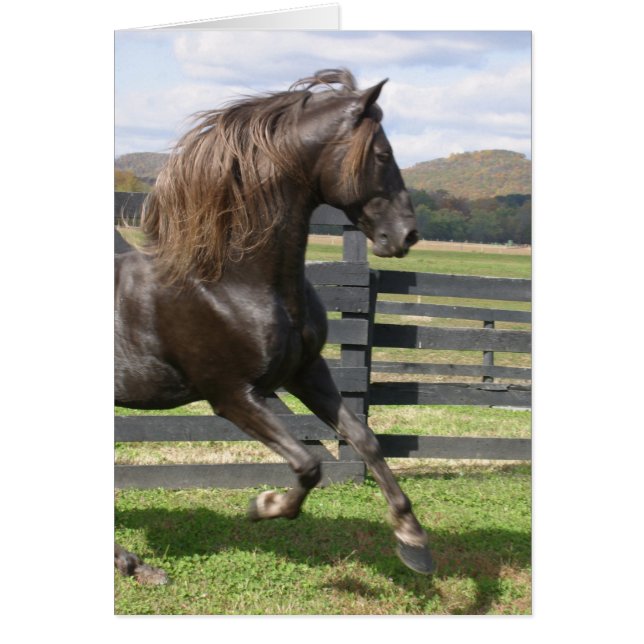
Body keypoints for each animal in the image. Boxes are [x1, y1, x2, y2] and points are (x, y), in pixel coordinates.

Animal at [114, 69, 433, 584]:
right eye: (383, 154)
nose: (407, 234)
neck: (230, 281)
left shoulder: (305, 372)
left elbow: (363, 438)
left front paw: (414, 542)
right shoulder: (233, 396)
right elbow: (309, 462)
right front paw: (264, 505)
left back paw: (136, 564)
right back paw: (133, 563)